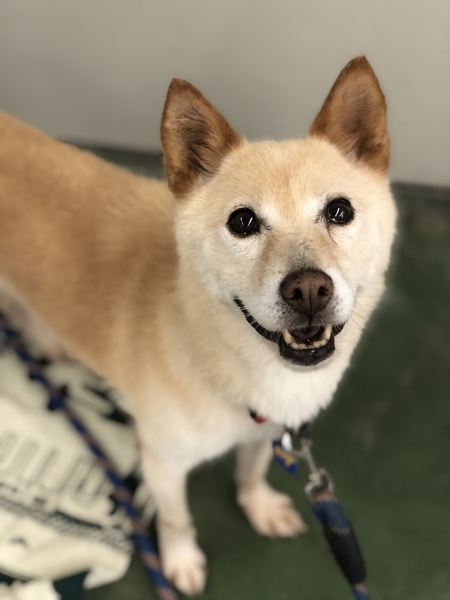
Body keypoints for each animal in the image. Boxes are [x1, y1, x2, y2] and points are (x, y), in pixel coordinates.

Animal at [0, 56, 396, 594]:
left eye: (340, 211)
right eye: (243, 222)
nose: (309, 289)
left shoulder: (264, 432)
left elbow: (251, 472)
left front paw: (259, 507)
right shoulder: (161, 462)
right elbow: (175, 519)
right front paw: (181, 560)